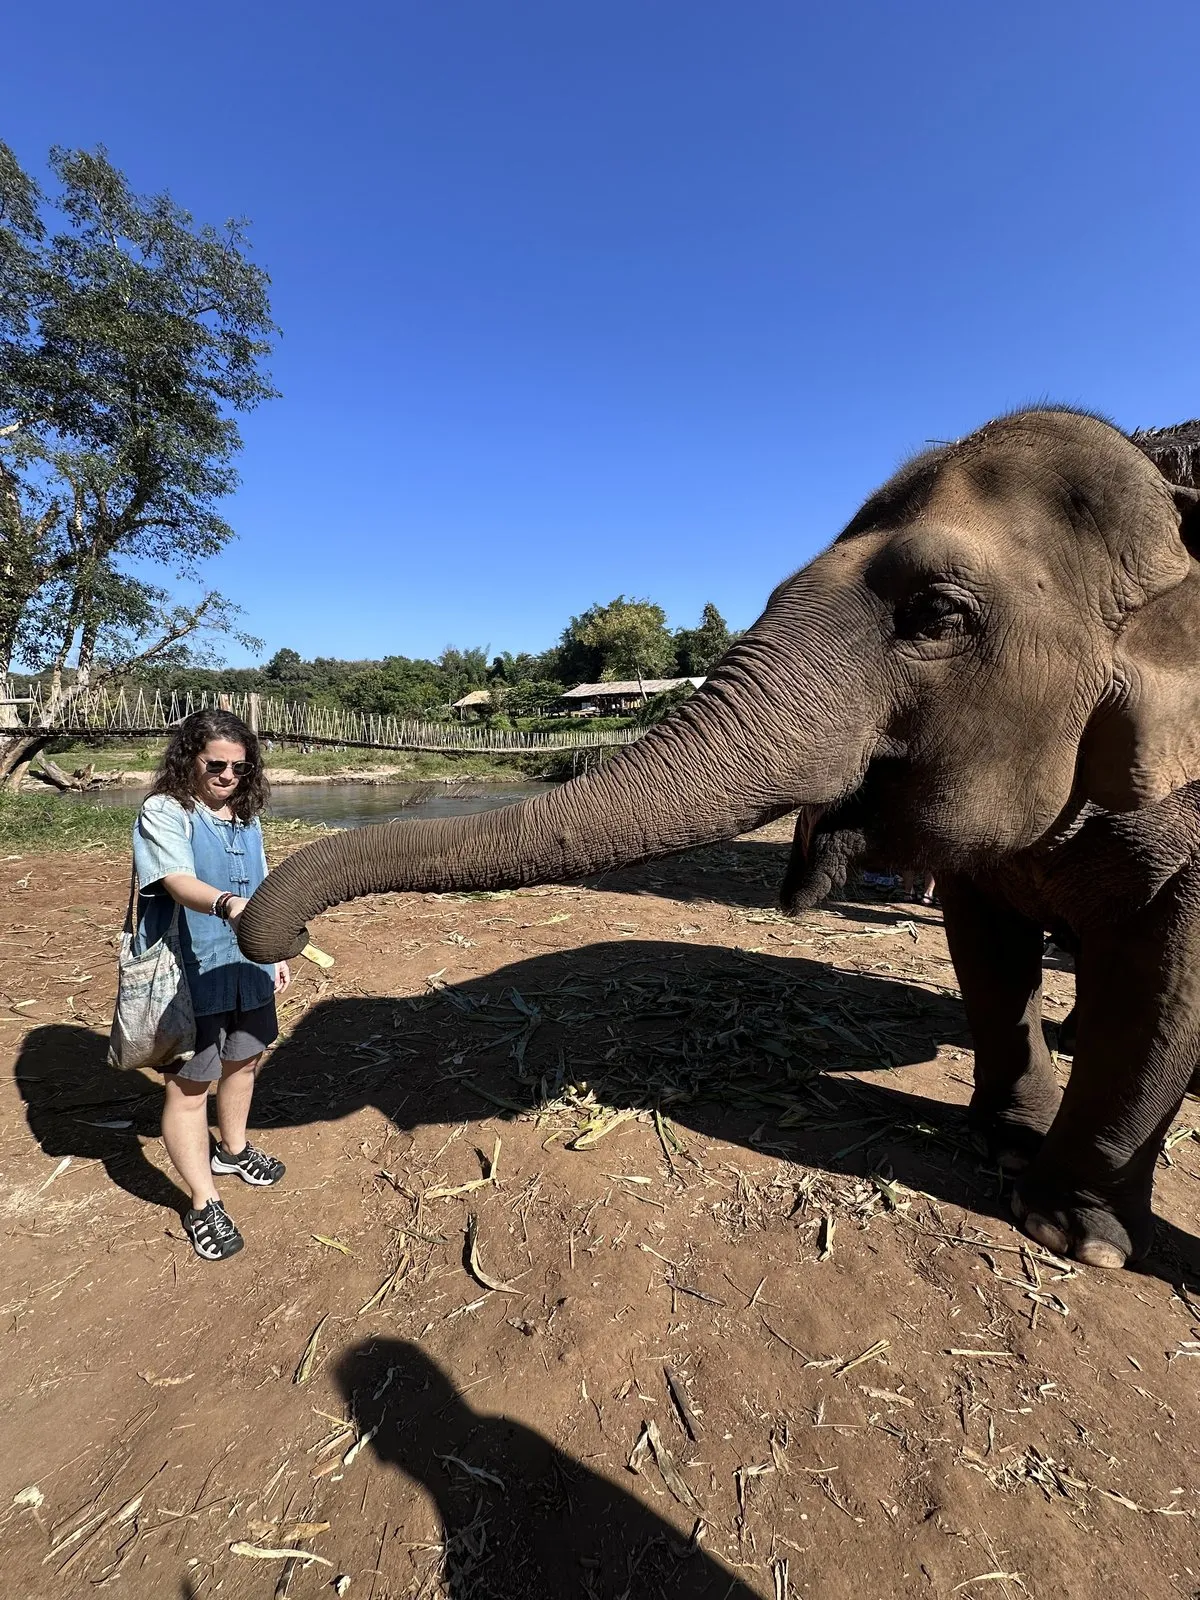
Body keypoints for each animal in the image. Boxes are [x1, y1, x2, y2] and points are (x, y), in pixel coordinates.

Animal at [240, 407, 1200, 1272]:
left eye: (935, 615)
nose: (292, 940)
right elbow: (987, 947)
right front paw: (1007, 1144)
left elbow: (1168, 979)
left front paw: (1070, 1236)